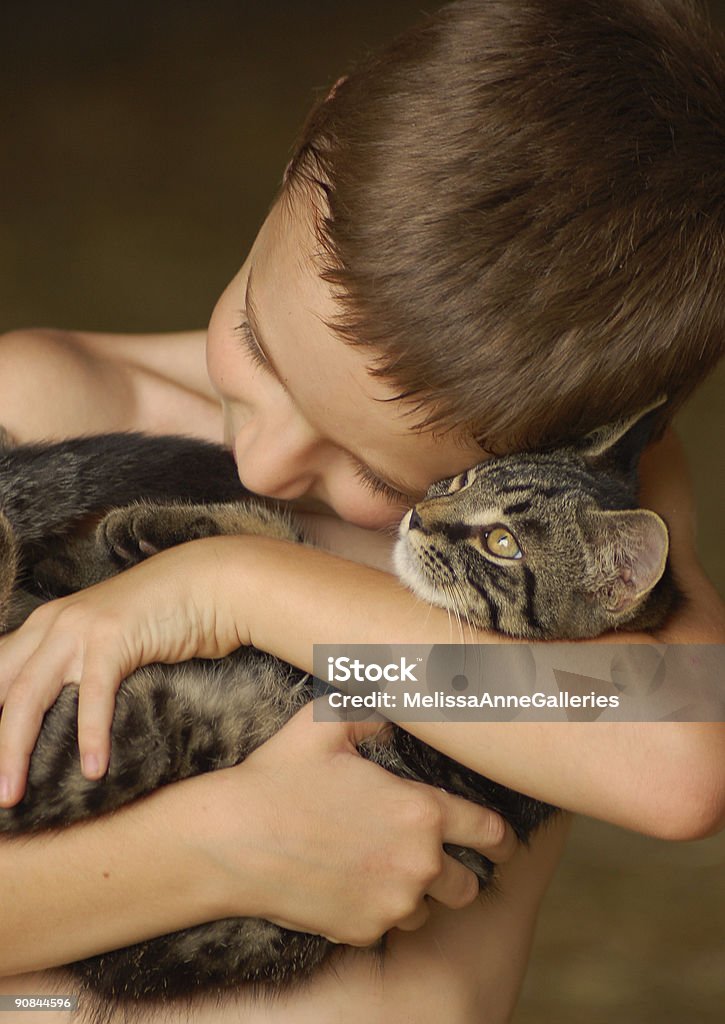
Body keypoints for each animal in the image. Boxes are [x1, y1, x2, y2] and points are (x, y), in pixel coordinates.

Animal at [0, 403, 675, 1011]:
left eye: (502, 543)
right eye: (462, 480)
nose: (418, 516)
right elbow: (285, 541)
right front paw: (163, 526)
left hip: (124, 732)